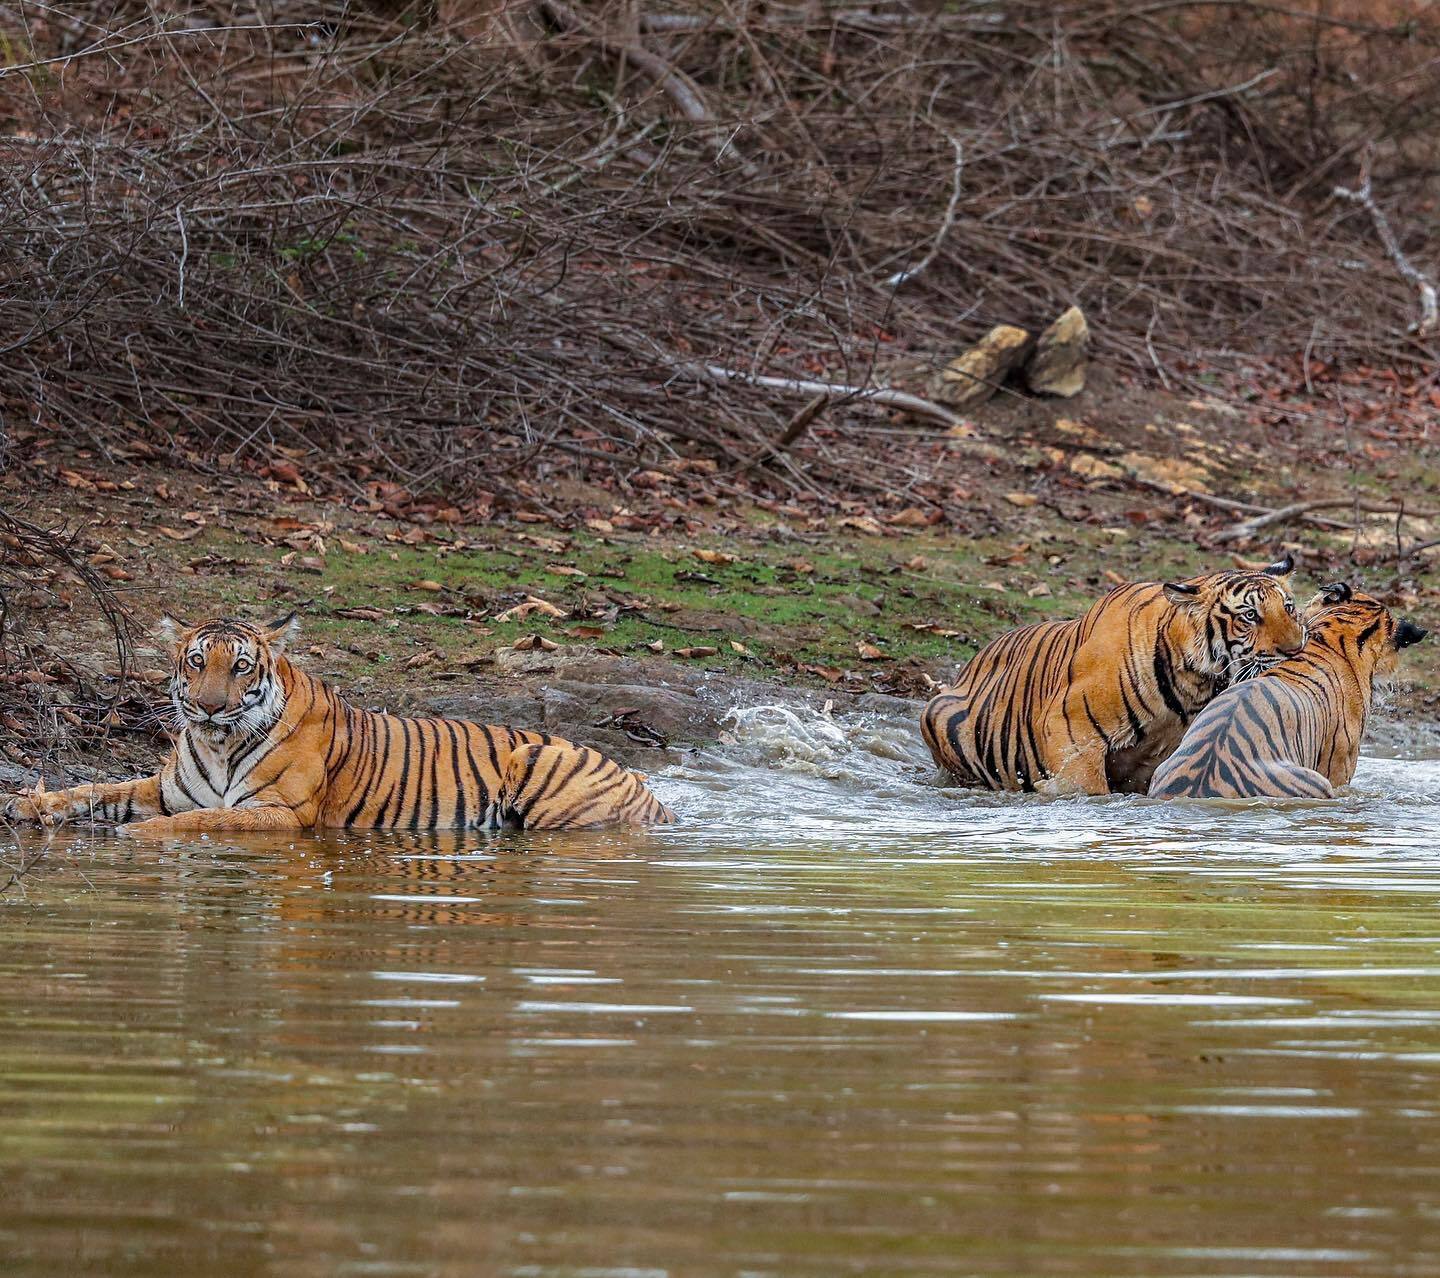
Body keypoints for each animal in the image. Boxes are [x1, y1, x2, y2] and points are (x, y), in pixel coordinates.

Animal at [4, 610, 673, 834]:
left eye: (241, 666)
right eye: (196, 662)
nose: (210, 706)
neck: (218, 741)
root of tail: (642, 783)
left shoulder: (283, 813)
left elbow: (200, 824)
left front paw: (134, 838)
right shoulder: (160, 788)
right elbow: (95, 789)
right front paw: (28, 806)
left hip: (538, 763)